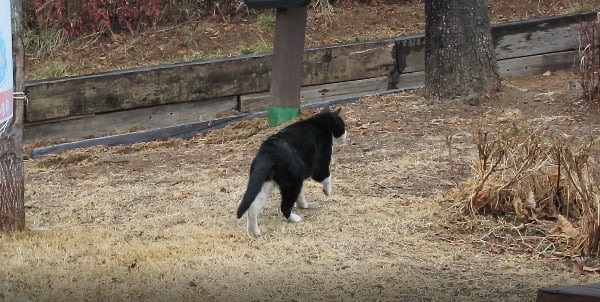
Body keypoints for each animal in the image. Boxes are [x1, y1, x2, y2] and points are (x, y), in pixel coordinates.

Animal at [236, 107, 346, 237]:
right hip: (292, 183)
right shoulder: (321, 163)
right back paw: (295, 219)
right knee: (284, 206)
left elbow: (301, 193)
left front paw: (302, 204)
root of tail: (267, 152)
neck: (319, 122)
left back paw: (254, 232)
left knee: (253, 206)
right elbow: (326, 177)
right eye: (343, 126)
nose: (346, 134)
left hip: (265, 183)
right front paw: (327, 192)